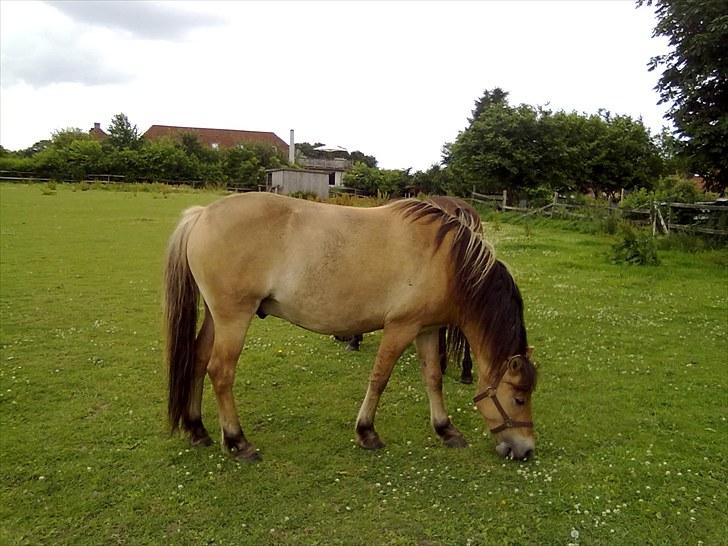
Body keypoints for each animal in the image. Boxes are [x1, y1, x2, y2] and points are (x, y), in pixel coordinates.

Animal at [168, 191, 536, 460]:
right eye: (519, 398)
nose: (526, 449)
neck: (445, 260)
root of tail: (201, 215)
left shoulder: (427, 329)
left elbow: (433, 378)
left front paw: (446, 429)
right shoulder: (401, 327)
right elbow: (380, 378)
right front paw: (367, 431)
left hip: (216, 317)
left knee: (198, 360)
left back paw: (197, 429)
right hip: (233, 318)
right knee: (220, 371)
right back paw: (236, 440)